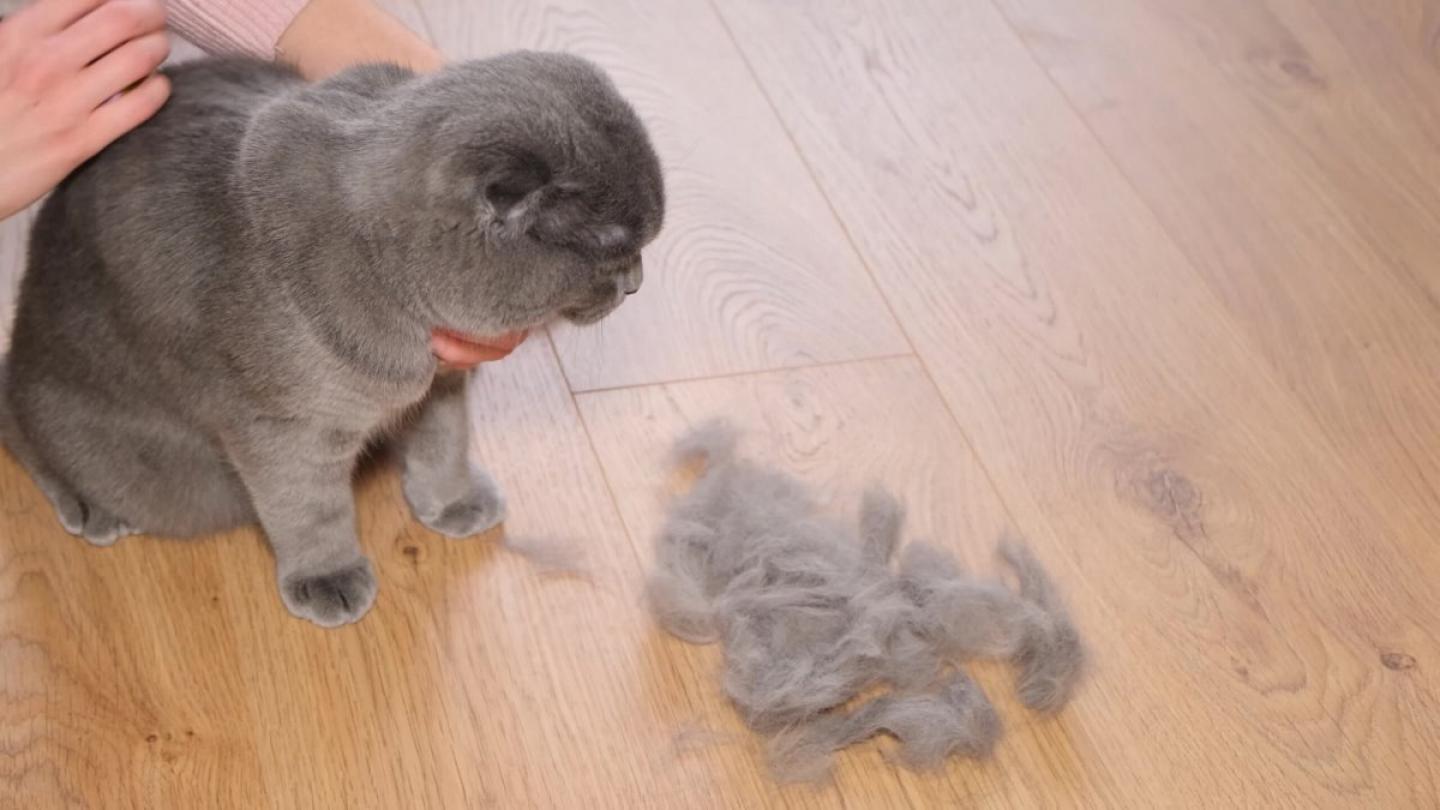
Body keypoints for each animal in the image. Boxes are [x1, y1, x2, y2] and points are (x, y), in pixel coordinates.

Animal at [0, 51, 662, 625]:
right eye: (611, 244)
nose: (635, 284)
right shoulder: (287, 428)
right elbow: (310, 507)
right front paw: (328, 577)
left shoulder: (442, 383)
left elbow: (446, 441)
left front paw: (452, 501)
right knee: (19, 423)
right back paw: (90, 507)